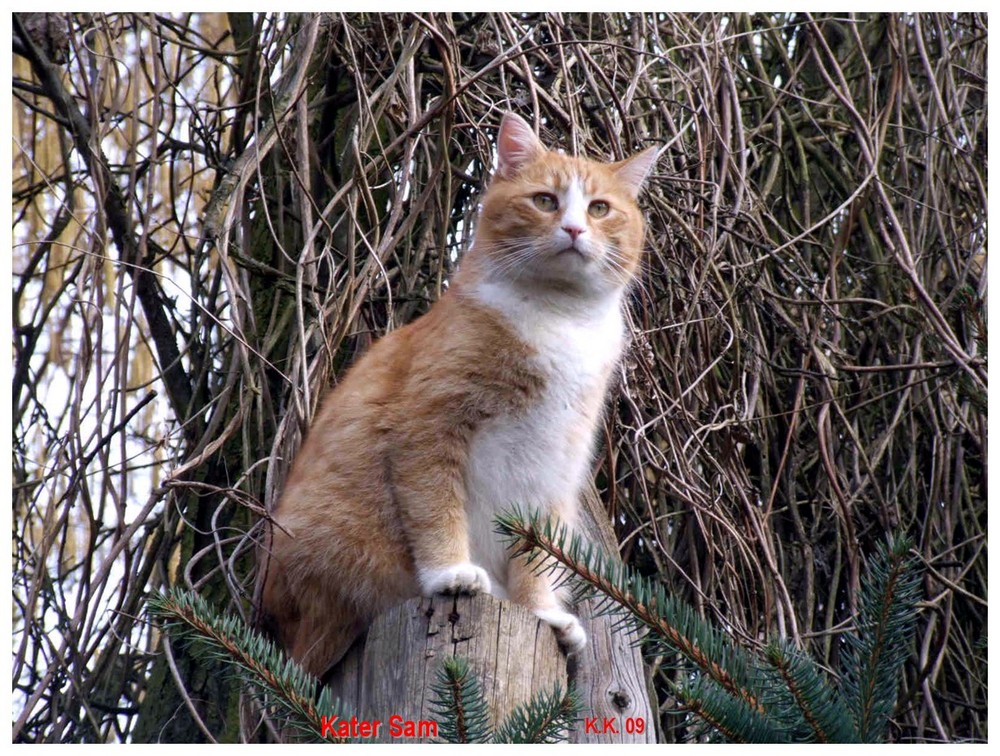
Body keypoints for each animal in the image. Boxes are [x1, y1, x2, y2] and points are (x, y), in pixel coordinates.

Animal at [258, 112, 656, 680]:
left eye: (599, 208)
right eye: (545, 200)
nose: (575, 229)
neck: (559, 321)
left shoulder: (553, 467)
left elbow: (537, 553)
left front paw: (541, 612)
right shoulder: (430, 426)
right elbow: (435, 507)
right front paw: (452, 572)